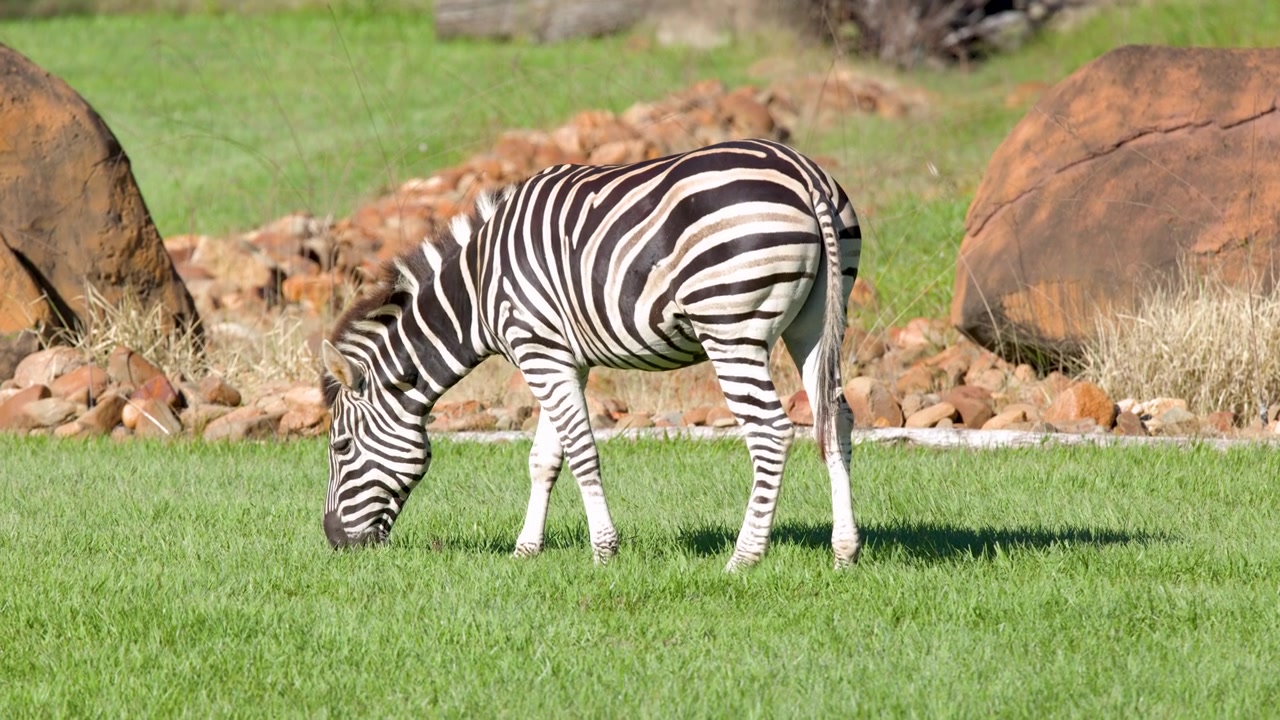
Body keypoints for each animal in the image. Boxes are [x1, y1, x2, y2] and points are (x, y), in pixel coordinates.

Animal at [321, 138, 863, 571]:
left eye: (340, 447)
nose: (334, 541)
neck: (475, 291)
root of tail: (803, 172)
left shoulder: (539, 351)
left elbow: (581, 452)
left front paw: (604, 550)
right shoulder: (560, 358)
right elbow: (543, 458)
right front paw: (526, 551)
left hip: (730, 327)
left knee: (770, 432)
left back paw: (743, 558)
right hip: (816, 322)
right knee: (835, 418)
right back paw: (845, 551)